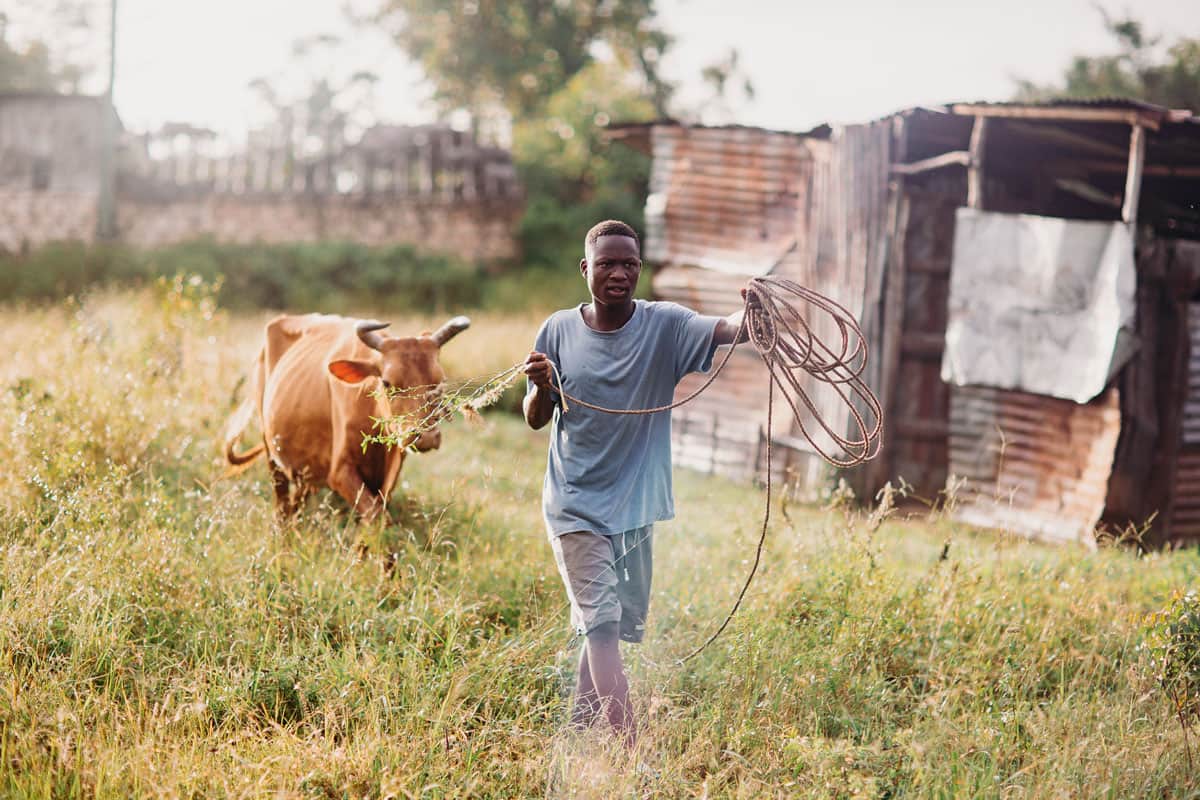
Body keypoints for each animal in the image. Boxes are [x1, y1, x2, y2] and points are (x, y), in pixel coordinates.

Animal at [223, 311, 470, 520]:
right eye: (387, 383)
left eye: (440, 382)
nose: (426, 436)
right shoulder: (341, 472)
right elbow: (376, 517)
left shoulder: (388, 477)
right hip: (272, 455)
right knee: (282, 509)